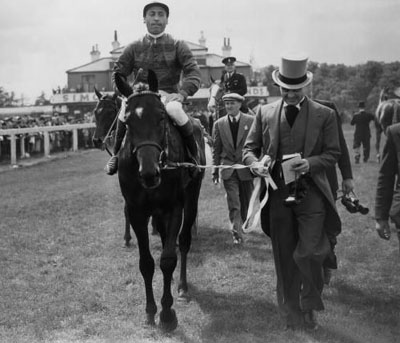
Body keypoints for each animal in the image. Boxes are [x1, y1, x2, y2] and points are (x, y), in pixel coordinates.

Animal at [114, 70, 205, 334]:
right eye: (128, 122)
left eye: (161, 117)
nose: (149, 173)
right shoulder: (137, 212)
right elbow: (147, 263)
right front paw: (150, 311)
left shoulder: (174, 208)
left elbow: (168, 259)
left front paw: (167, 314)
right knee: (167, 240)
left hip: (191, 198)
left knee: (182, 242)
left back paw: (182, 287)